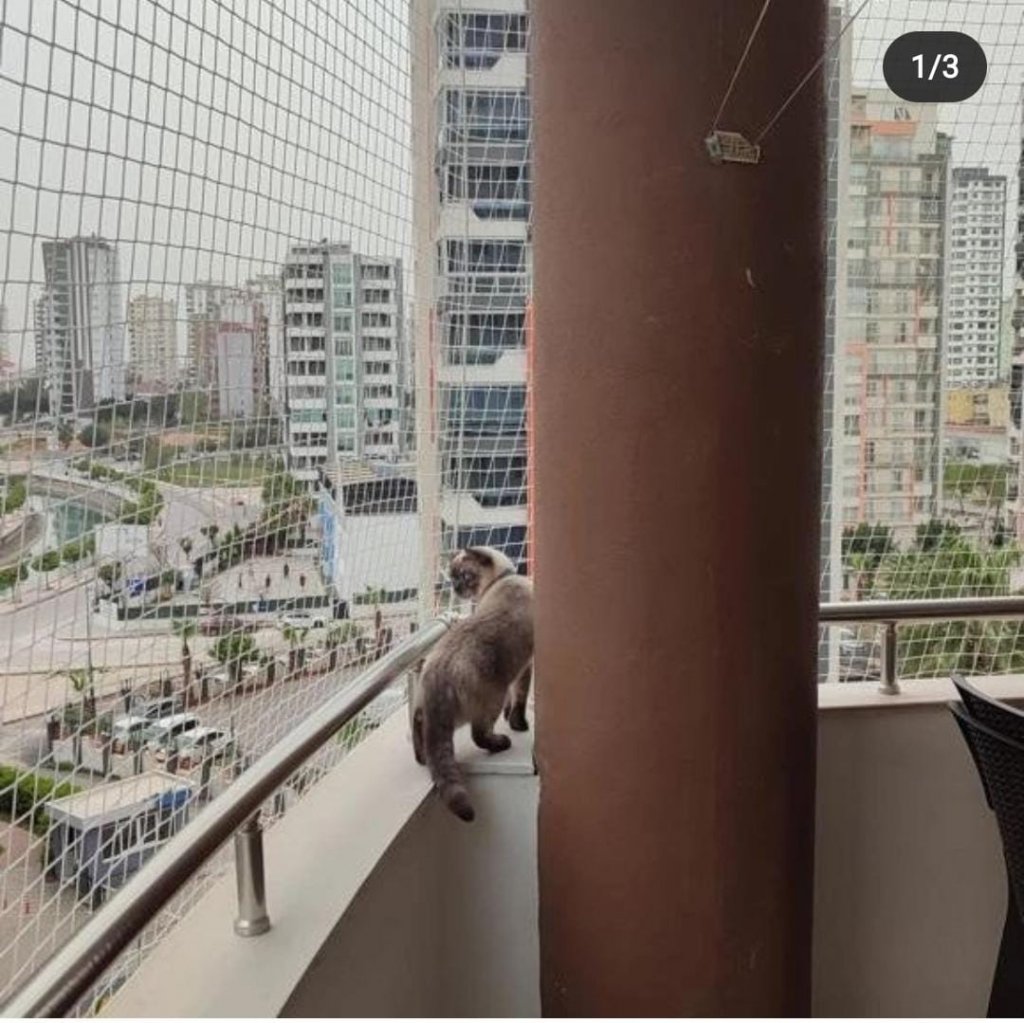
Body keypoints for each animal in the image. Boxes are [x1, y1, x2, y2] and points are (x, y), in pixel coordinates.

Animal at [412, 546, 533, 821]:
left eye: (463, 576)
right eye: (453, 577)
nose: (456, 588)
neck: (502, 579)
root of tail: (439, 670)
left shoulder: (518, 671)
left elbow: (513, 701)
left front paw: (512, 719)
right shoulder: (525, 668)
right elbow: (519, 701)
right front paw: (519, 726)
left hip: (426, 711)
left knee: (419, 731)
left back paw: (422, 758)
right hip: (490, 701)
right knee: (479, 735)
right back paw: (502, 743)